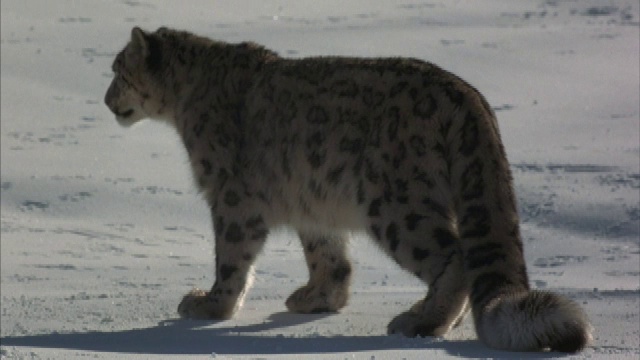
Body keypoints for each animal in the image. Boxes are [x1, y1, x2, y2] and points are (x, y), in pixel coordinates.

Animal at [104, 27, 592, 352]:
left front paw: (209, 306)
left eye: (118, 71)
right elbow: (329, 255)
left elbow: (231, 259)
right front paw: (318, 298)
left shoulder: (231, 197)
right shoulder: (312, 202)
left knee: (453, 256)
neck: (184, 103)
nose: (107, 101)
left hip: (397, 205)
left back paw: (421, 320)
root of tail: (468, 96)